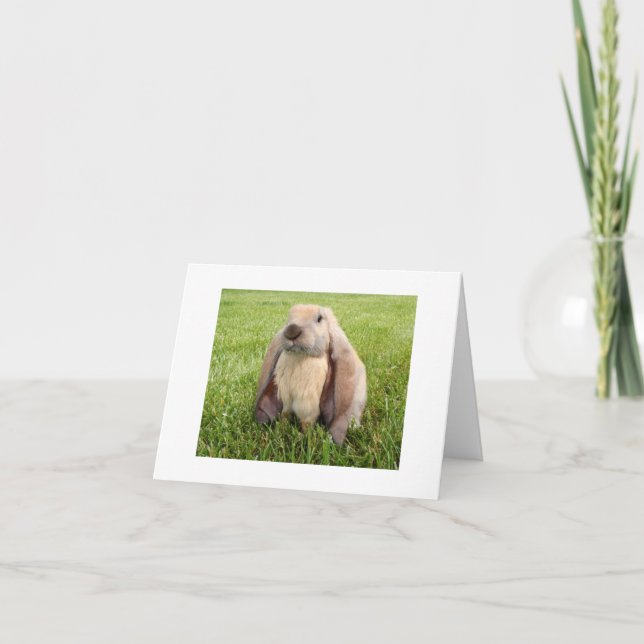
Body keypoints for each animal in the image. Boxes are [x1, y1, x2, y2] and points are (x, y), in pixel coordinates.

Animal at [254, 304, 367, 445]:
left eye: (319, 318)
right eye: (289, 317)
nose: (291, 331)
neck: (299, 355)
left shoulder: (307, 403)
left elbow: (306, 422)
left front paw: (305, 437)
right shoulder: (286, 397)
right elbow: (285, 414)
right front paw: (281, 429)